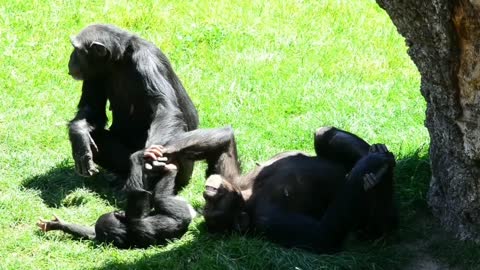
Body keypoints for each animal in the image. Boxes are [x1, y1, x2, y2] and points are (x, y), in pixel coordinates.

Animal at [66, 23, 198, 192]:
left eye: (76, 49)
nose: (71, 58)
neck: (119, 60)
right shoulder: (93, 73)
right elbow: (93, 108)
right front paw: (79, 134)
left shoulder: (146, 62)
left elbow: (164, 107)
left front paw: (144, 156)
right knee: (97, 136)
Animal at [136, 126, 398, 253]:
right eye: (212, 207)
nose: (207, 193)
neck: (247, 195)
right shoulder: (268, 219)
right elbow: (323, 235)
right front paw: (367, 165)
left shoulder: (233, 179)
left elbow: (224, 145)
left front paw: (159, 154)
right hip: (375, 225)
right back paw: (376, 178)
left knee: (323, 135)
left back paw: (377, 154)